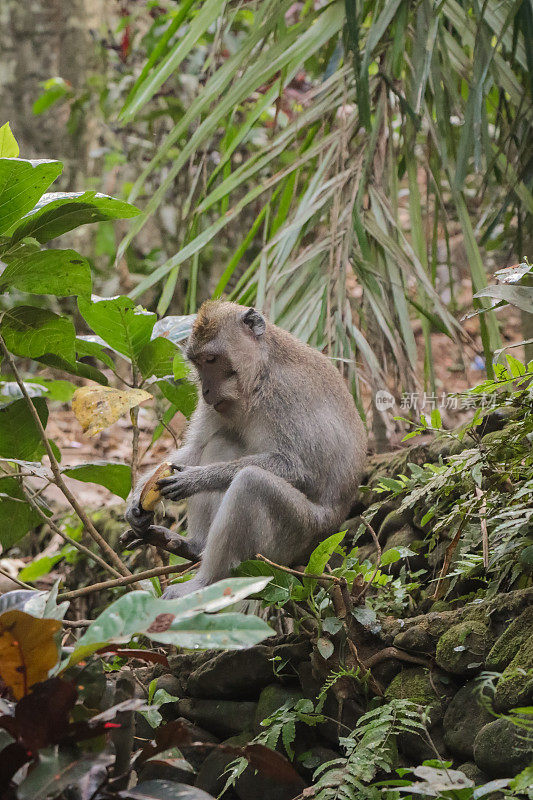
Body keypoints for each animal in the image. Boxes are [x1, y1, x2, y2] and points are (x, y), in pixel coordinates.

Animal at [123, 304, 366, 596]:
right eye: (198, 362)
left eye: (212, 359)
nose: (205, 390)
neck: (259, 376)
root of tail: (332, 532)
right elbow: (197, 447)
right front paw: (136, 500)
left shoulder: (284, 393)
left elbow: (299, 469)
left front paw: (194, 479)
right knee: (220, 442)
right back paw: (195, 545)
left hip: (301, 535)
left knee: (252, 483)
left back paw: (206, 581)